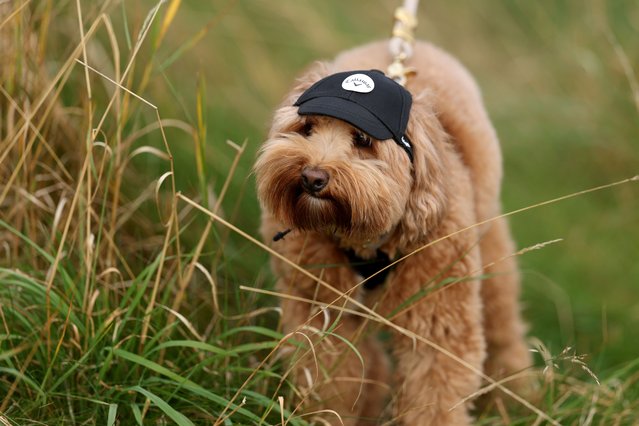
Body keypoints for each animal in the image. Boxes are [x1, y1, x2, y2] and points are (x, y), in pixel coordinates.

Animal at [254, 39, 528, 422]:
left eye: (362, 139)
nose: (311, 177)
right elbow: (331, 382)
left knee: (505, 332)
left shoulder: (439, 325)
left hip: (492, 257)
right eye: (306, 128)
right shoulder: (321, 313)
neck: (365, 239)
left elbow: (433, 400)